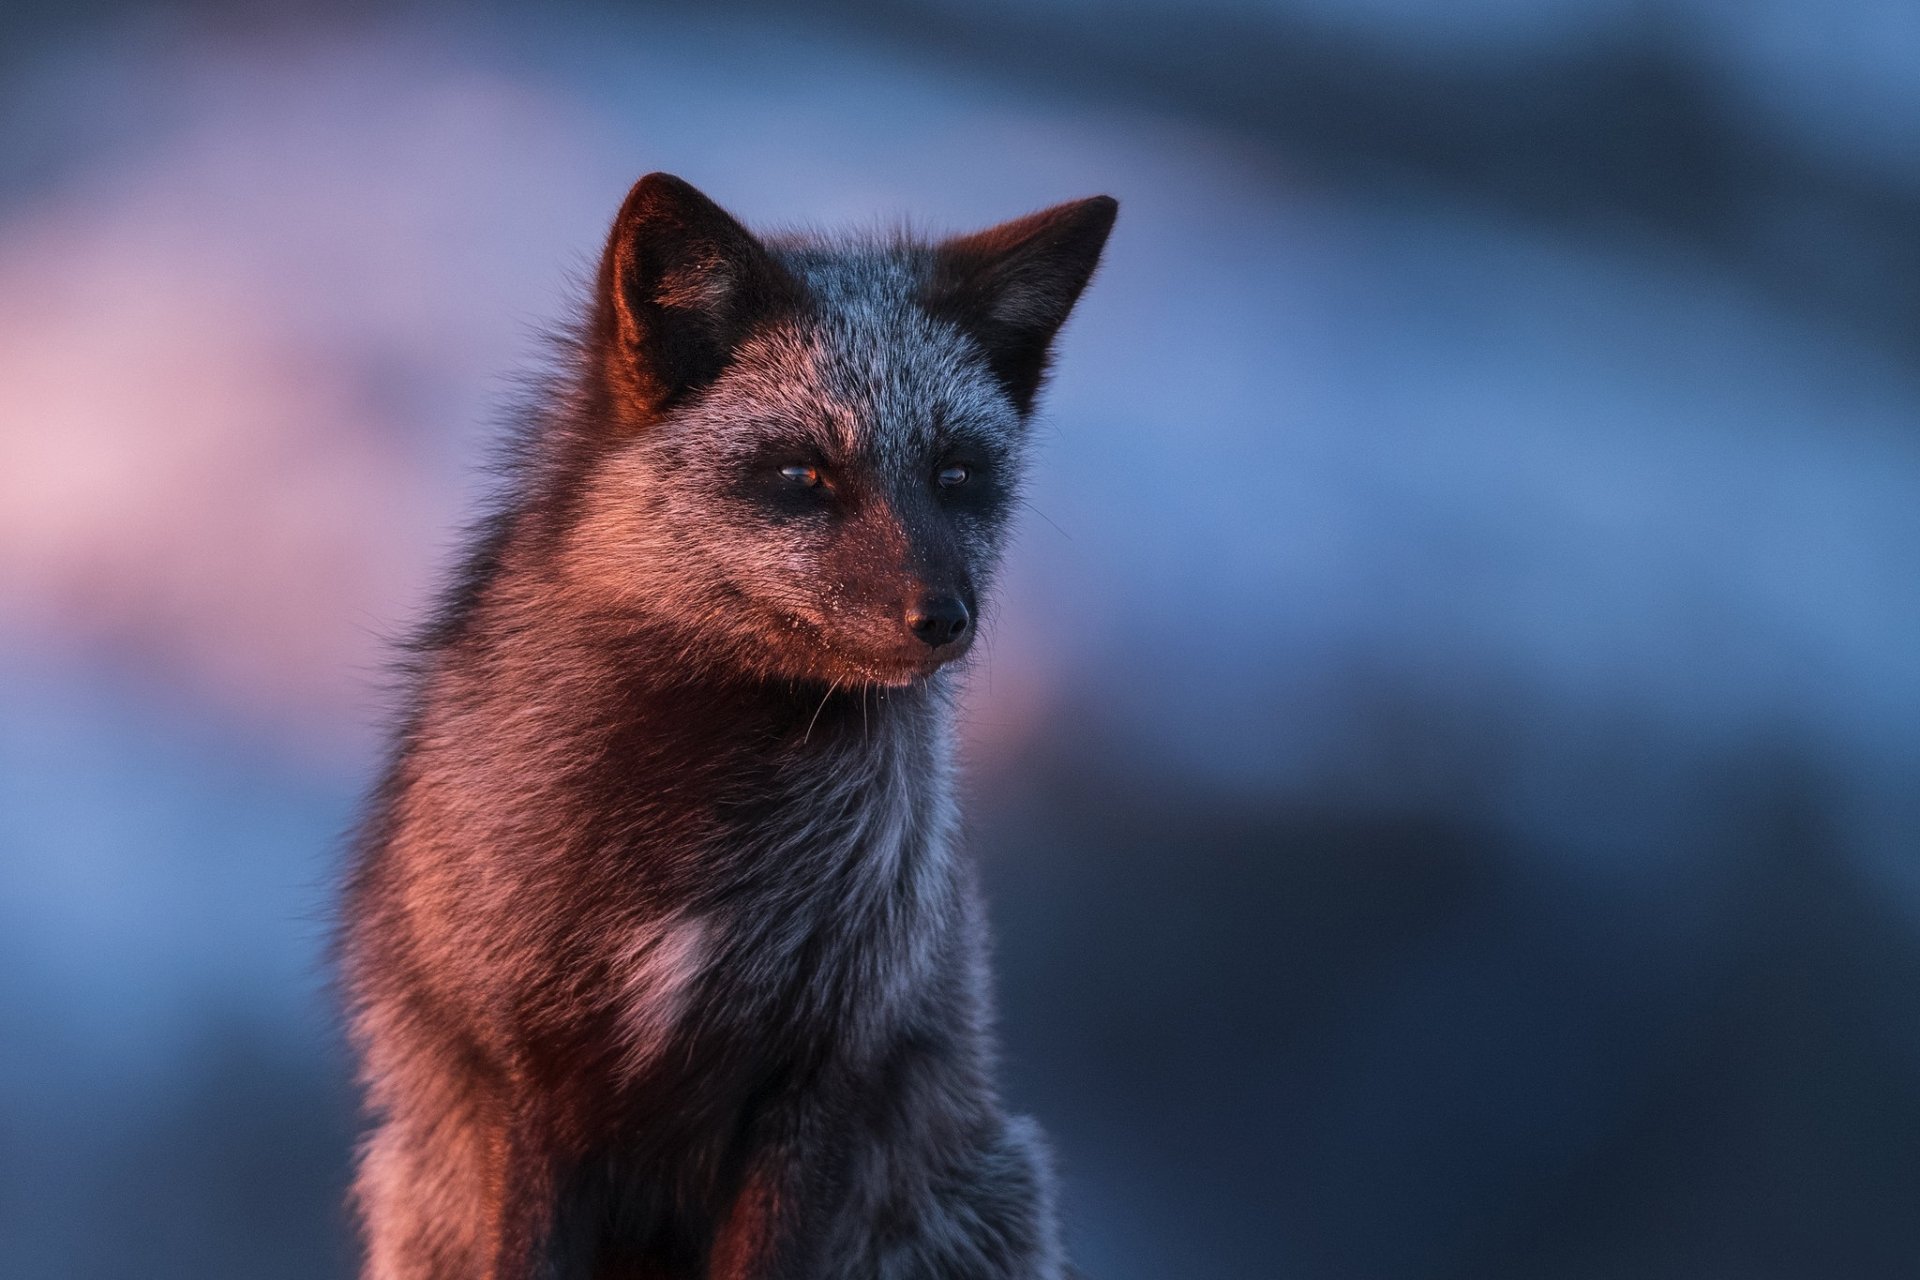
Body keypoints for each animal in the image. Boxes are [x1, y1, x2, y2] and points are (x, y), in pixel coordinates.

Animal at [339, 172, 1116, 1280]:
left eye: (956, 473)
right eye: (801, 475)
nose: (945, 618)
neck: (694, 818)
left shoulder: (821, 1076)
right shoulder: (523, 1076)